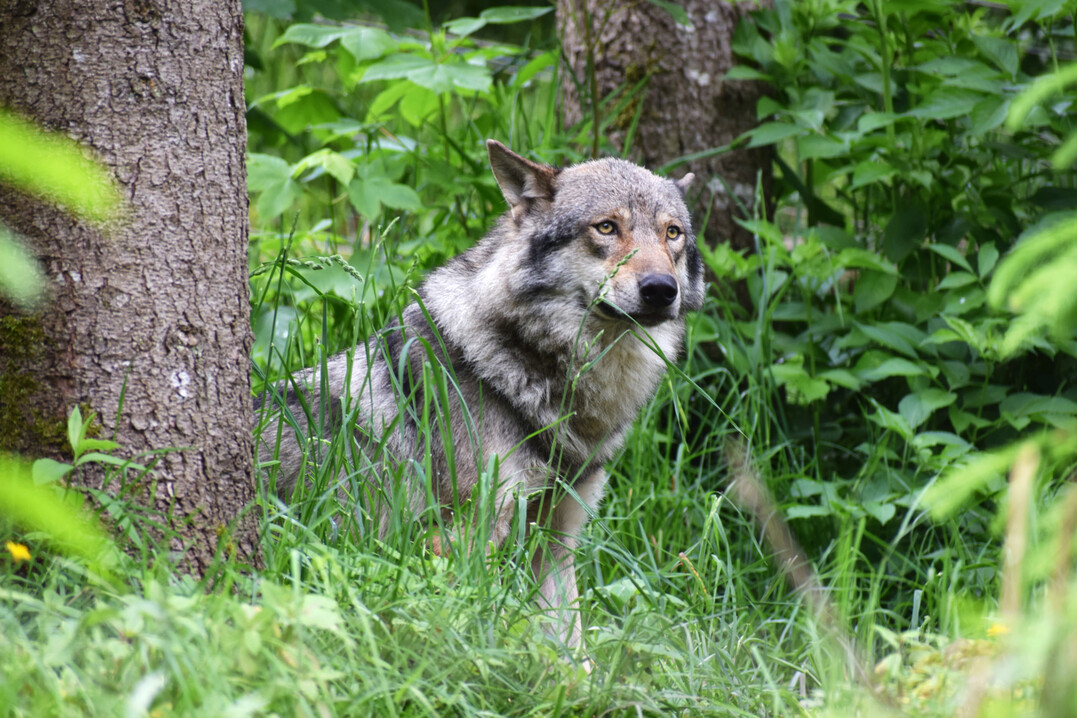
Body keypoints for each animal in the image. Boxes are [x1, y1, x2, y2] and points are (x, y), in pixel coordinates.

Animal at [260, 140, 704, 649]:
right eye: (607, 227)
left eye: (672, 233)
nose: (661, 289)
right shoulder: (463, 537)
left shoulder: (556, 542)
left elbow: (572, 650)